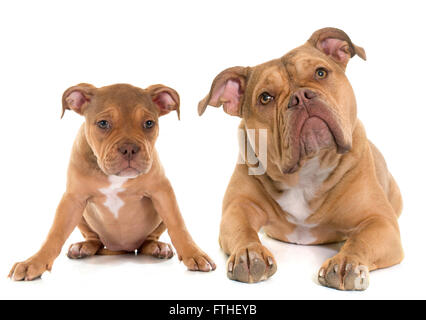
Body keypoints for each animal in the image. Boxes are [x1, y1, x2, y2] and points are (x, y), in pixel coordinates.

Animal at [9, 82, 216, 280]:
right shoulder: (73, 199)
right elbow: (55, 232)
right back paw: (83, 247)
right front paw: (34, 262)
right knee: (95, 240)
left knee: (148, 241)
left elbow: (178, 225)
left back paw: (157, 247)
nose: (129, 148)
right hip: (83, 216)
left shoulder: (162, 192)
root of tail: (122, 248)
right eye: (103, 123)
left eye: (149, 123)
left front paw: (194, 253)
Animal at [199, 28, 402, 292]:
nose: (301, 97)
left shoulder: (380, 222)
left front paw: (347, 261)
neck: (306, 172)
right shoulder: (238, 208)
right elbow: (243, 229)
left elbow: (359, 240)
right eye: (265, 97)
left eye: (321, 73)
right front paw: (249, 253)